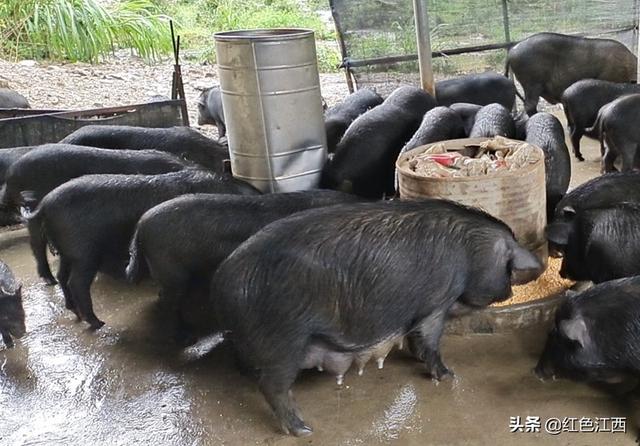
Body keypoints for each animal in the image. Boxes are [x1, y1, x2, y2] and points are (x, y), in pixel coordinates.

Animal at [27, 169, 258, 330]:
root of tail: (44, 205)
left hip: (67, 251)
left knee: (62, 276)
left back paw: (74, 311)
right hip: (84, 252)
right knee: (77, 283)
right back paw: (97, 323)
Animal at [210, 199, 540, 436]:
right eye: (506, 265)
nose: (530, 271)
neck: (472, 251)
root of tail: (223, 279)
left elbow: (416, 339)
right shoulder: (436, 301)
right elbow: (430, 339)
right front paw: (448, 376)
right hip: (284, 339)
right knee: (272, 386)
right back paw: (303, 430)